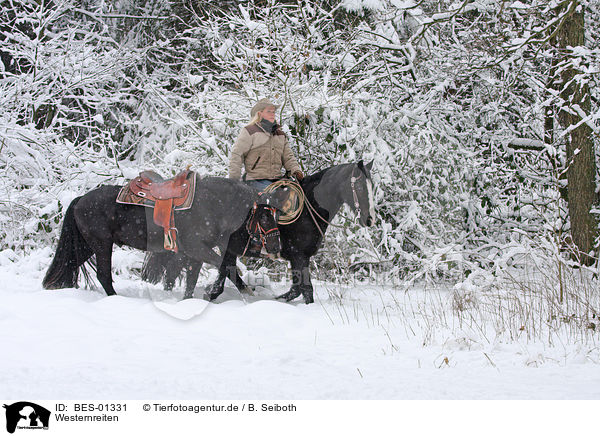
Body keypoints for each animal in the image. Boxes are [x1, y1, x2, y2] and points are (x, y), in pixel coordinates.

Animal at [42, 177, 286, 296]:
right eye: (265, 218)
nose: (276, 247)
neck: (211, 204)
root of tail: (80, 200)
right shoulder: (197, 248)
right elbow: (226, 267)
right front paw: (237, 290)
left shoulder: (196, 253)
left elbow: (195, 277)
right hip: (101, 245)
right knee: (103, 275)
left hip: (86, 246)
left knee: (70, 264)